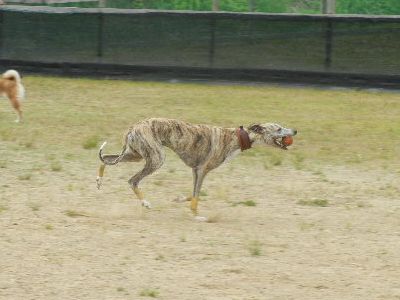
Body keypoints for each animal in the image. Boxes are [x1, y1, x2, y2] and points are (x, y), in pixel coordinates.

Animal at [97, 118, 296, 220]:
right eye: (278, 129)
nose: (295, 131)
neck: (235, 137)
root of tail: (134, 127)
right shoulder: (202, 170)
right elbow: (196, 197)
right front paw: (196, 215)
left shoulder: (195, 171)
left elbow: (192, 195)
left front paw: (178, 199)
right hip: (156, 158)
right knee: (132, 180)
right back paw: (145, 203)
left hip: (135, 155)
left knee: (105, 159)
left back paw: (99, 181)